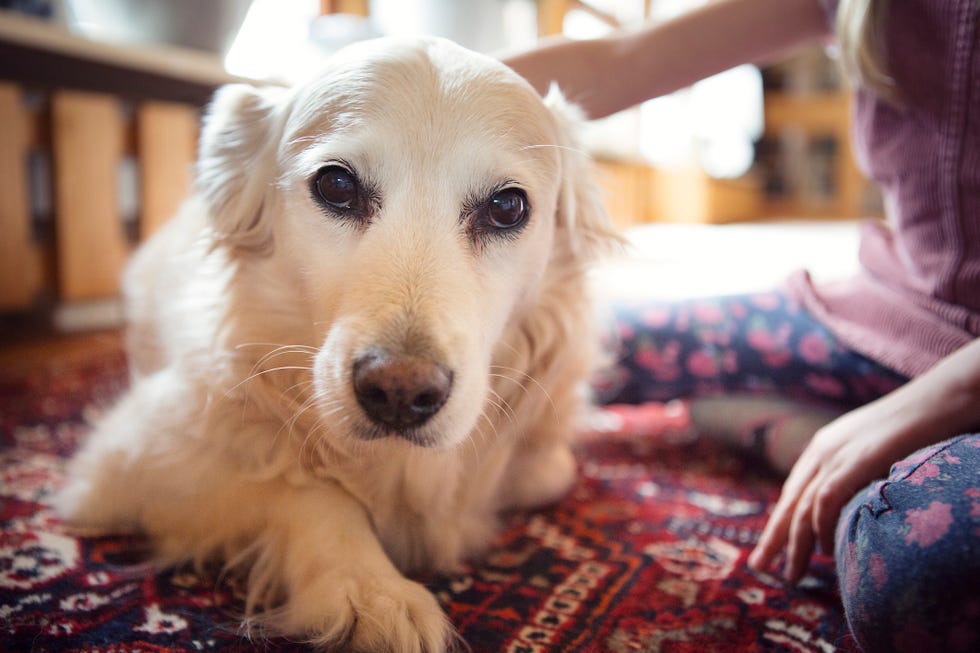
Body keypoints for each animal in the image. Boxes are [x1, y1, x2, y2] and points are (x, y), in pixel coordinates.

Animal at [55, 37, 612, 652]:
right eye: (337, 186)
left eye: (507, 207)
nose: (399, 394)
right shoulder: (124, 463)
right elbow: (305, 487)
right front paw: (373, 590)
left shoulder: (547, 461)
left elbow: (538, 474)